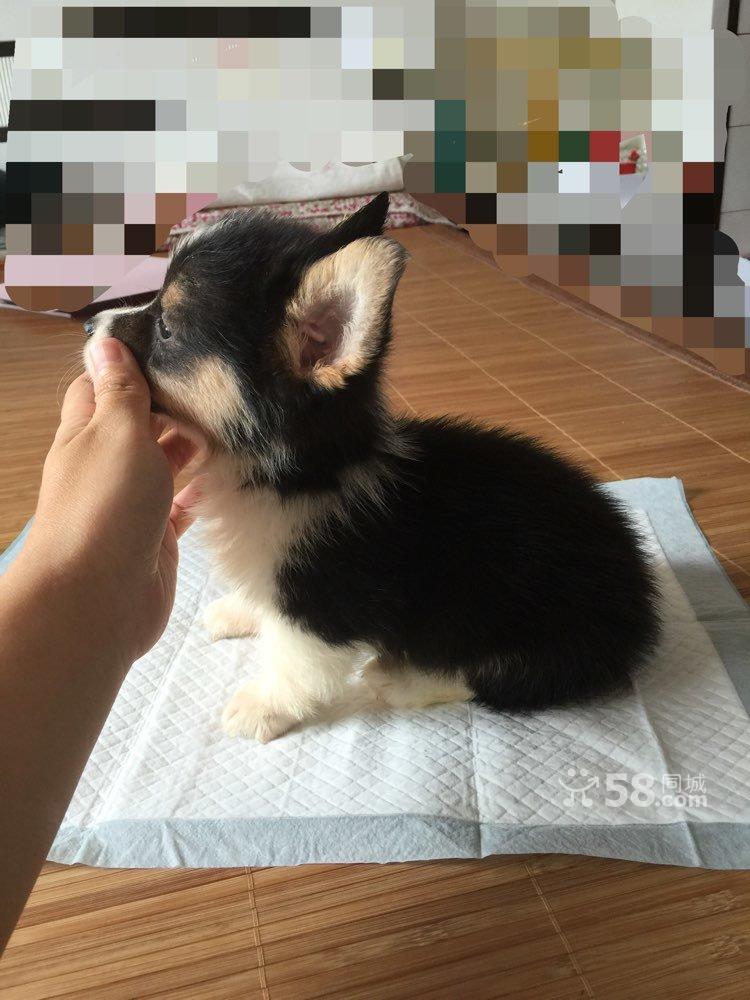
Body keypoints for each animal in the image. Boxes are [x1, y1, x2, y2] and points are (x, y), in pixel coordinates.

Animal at [83, 192, 660, 742]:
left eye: (165, 328)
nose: (90, 322)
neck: (302, 475)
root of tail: (643, 594)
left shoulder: (322, 605)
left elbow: (295, 662)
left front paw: (259, 707)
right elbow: (265, 599)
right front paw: (240, 610)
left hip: (531, 639)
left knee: (486, 678)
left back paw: (397, 677)